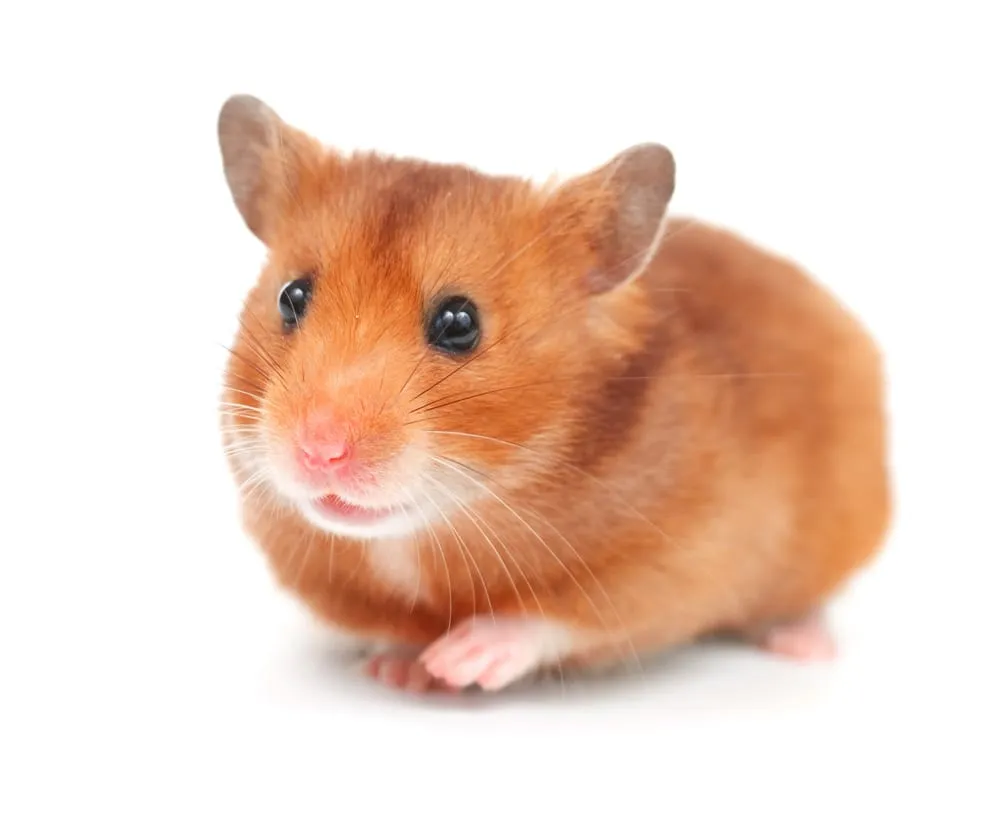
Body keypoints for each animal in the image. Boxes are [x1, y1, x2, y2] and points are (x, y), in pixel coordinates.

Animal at [217, 94, 892, 693]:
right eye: (291, 297)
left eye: (459, 323)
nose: (319, 451)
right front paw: (402, 671)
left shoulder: (679, 562)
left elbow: (558, 617)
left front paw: (461, 660)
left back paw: (804, 645)